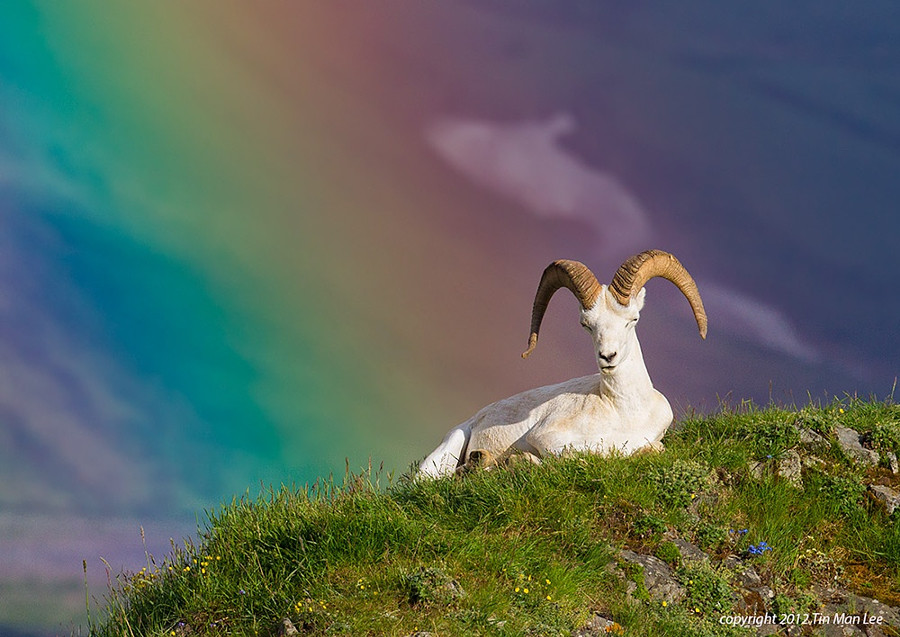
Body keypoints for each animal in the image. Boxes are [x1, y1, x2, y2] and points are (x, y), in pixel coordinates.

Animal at [418, 248, 708, 476]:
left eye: (633, 319)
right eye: (586, 325)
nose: (608, 357)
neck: (624, 411)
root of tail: (477, 418)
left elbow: (655, 448)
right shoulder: (546, 437)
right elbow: (585, 455)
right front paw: (521, 460)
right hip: (446, 451)